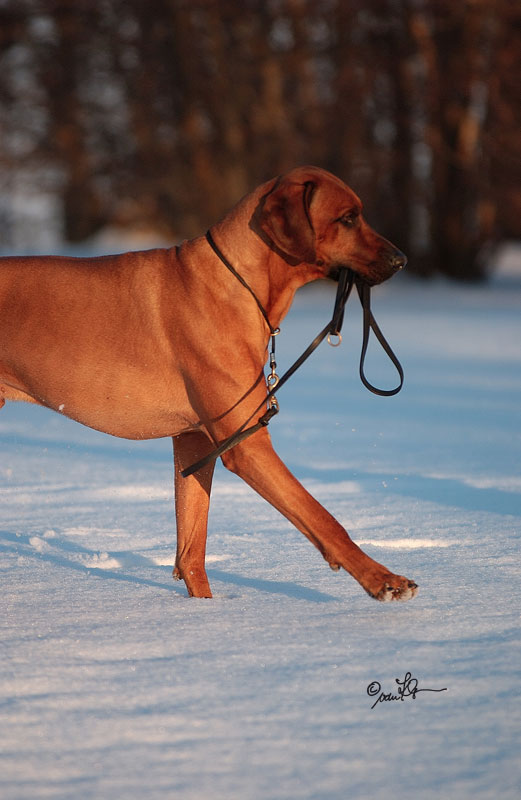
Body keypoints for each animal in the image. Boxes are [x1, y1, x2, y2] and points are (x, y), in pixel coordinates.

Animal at [0, 170, 416, 608]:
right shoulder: (247, 445)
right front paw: (383, 579)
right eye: (348, 218)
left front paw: (204, 611)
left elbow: (191, 545)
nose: (402, 260)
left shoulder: (194, 441)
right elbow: (323, 517)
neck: (240, 284)